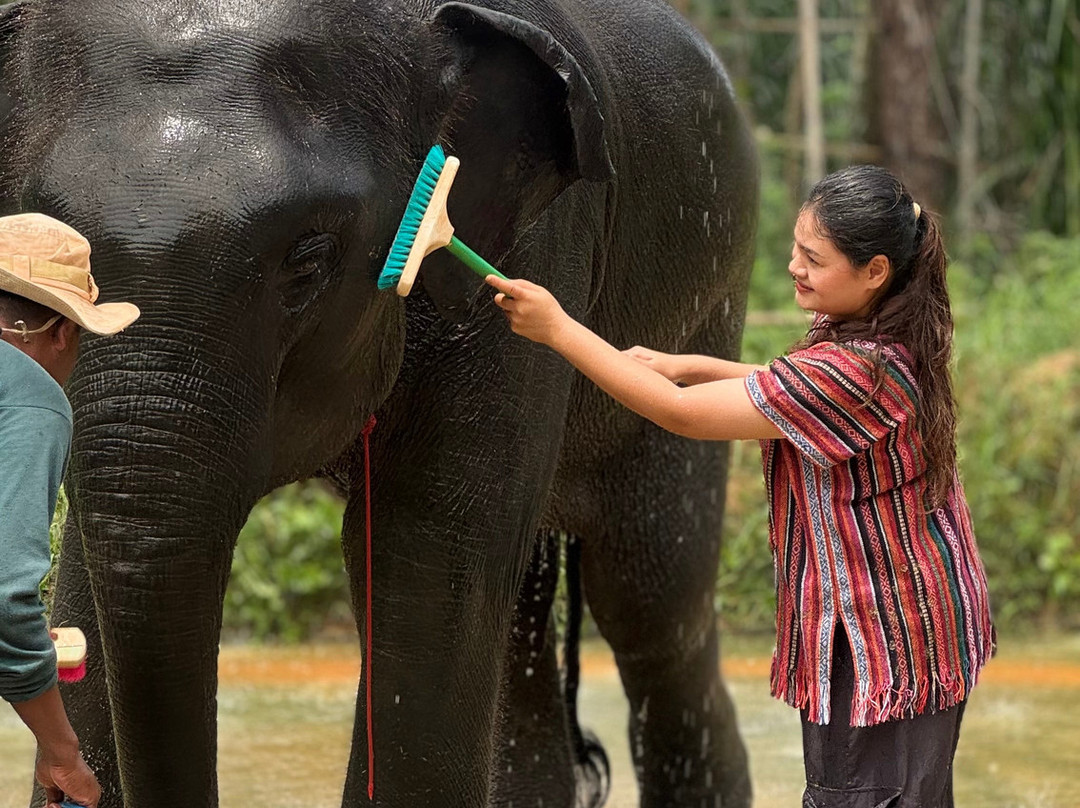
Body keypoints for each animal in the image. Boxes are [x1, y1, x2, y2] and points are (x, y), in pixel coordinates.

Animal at [0, 0, 759, 805]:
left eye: (309, 258)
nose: (71, 781)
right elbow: (89, 567)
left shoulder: (535, 245)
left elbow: (424, 560)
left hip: (707, 306)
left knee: (653, 606)